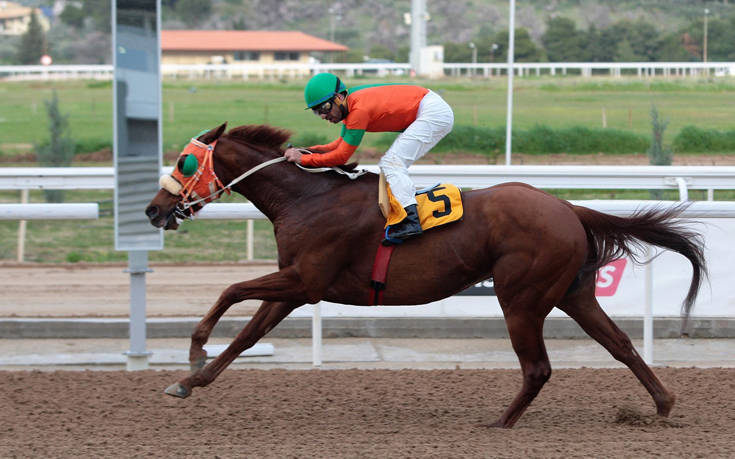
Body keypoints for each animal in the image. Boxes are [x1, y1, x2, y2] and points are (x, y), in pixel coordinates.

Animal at [145, 124, 708, 430]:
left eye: (184, 162)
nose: (153, 210)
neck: (307, 197)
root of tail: (569, 207)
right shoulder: (295, 286)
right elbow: (246, 335)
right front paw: (189, 381)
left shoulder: (305, 280)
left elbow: (229, 290)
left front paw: (194, 350)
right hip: (574, 293)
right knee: (620, 344)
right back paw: (662, 404)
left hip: (522, 298)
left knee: (538, 368)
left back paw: (500, 423)